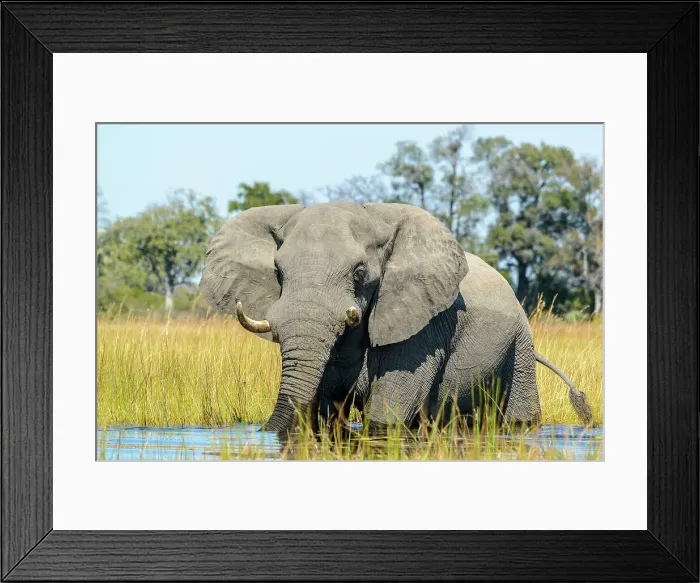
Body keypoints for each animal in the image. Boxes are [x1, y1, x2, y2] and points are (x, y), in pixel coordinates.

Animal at [200, 201, 592, 440]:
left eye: (359, 273)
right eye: (279, 273)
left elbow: (384, 418)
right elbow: (327, 413)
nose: (264, 431)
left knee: (516, 416)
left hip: (520, 343)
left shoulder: (422, 328)